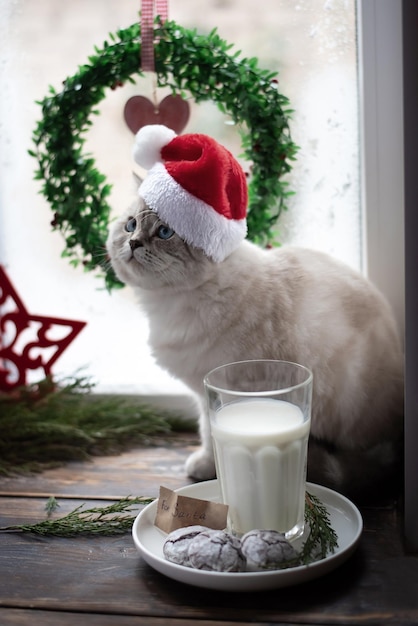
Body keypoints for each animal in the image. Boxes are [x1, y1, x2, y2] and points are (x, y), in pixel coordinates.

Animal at [108, 201, 404, 502]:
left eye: (165, 232)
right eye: (130, 225)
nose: (133, 243)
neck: (168, 304)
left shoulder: (238, 384)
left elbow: (215, 438)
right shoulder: (206, 391)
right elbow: (208, 432)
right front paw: (206, 466)